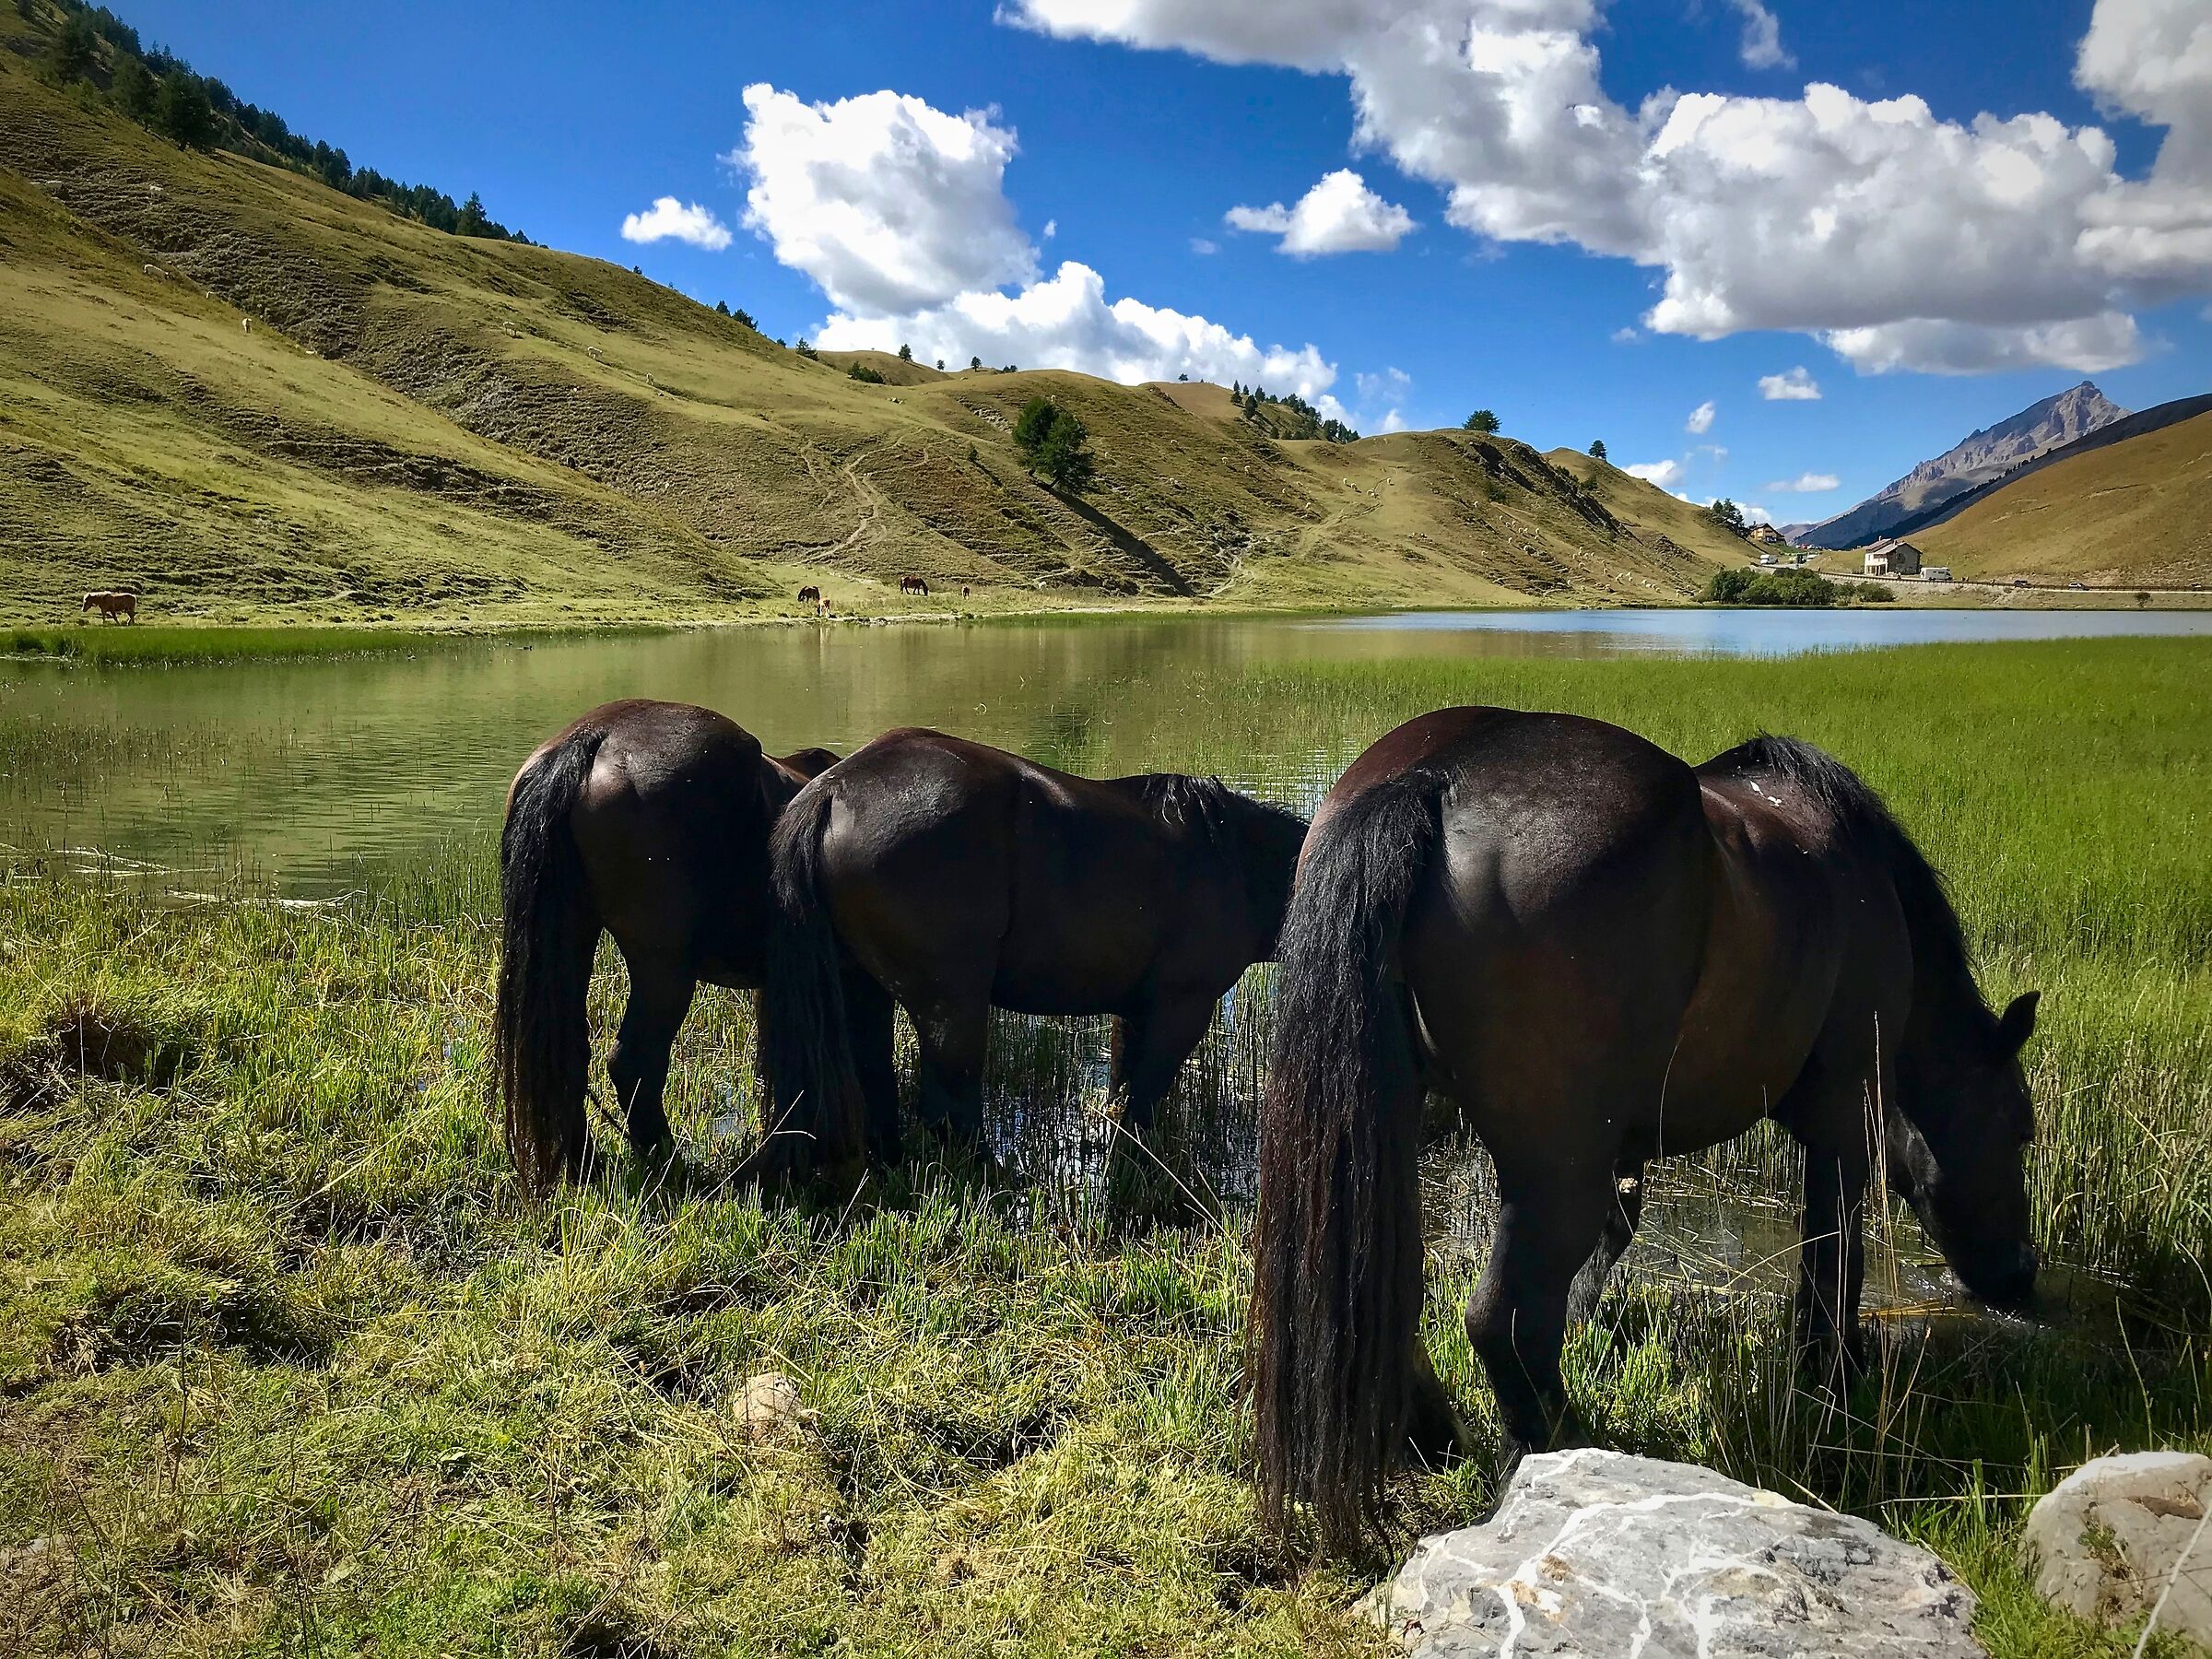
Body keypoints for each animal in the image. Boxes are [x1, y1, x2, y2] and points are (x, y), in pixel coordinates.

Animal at [492, 700, 840, 1193]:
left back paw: (586, 1166)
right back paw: (670, 1163)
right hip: (664, 968)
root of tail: (592, 737)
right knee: (635, 1062)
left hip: (573, 938)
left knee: (569, 1056)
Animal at [759, 727, 1310, 1172]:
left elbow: (1124, 1089)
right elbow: (1144, 1103)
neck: (1235, 861)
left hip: (863, 990)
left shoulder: (1136, 1010)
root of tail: (832, 789)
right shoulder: (1183, 1007)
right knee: (950, 1107)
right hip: (950, 1005)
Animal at [1251, 707, 2040, 1548]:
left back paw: (1437, 1435)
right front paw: (1832, 1371)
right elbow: (1834, 1254)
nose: (2021, 1276)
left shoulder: (1625, 1142)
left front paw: (1591, 1316)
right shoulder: (1843, 1121)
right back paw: (1558, 1449)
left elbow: (1618, 1230)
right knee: (1501, 1319)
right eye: (2020, 1130)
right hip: (1552, 1167)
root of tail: (1433, 777)